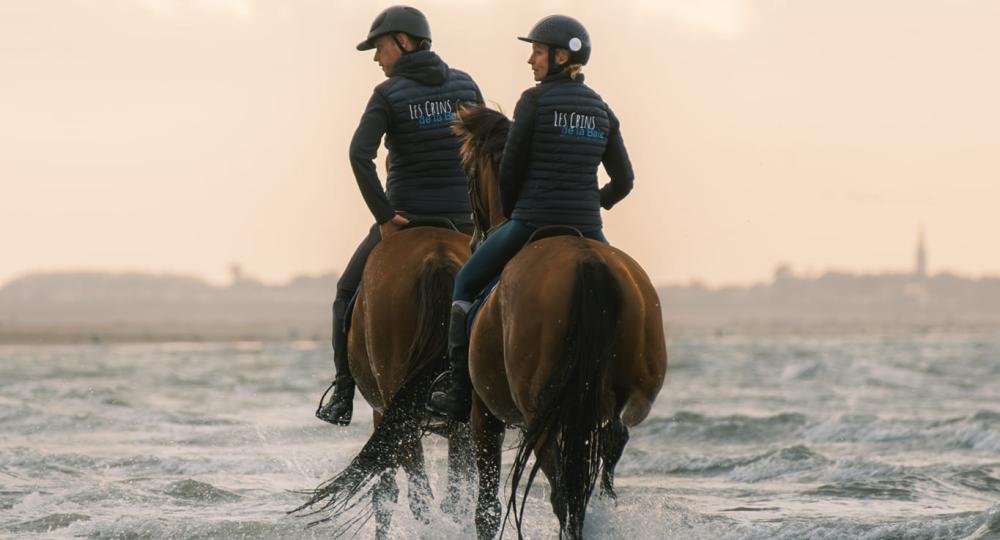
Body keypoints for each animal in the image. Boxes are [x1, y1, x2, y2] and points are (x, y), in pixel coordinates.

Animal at [458, 106, 668, 540]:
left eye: (467, 171)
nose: (473, 239)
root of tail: (587, 262)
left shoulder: (483, 413)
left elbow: (486, 507)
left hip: (542, 414)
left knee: (563, 493)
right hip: (619, 396)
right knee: (610, 444)